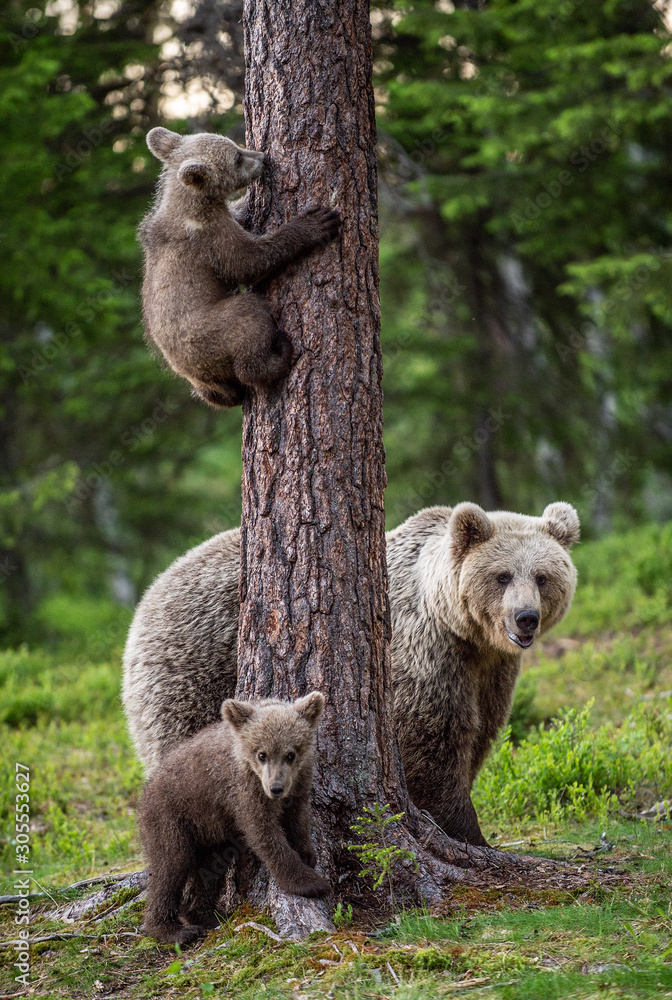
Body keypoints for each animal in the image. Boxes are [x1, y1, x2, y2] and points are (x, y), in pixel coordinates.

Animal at [123, 502, 579, 845]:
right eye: (502, 575)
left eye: (543, 576)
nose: (526, 618)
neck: (462, 630)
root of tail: (152, 592)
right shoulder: (423, 654)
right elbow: (433, 740)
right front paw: (465, 829)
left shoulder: (491, 671)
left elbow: (480, 731)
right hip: (191, 667)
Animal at [139, 127, 341, 408]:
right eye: (236, 157)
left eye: (235, 146)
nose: (263, 156)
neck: (193, 204)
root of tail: (197, 375)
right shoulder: (210, 238)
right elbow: (249, 262)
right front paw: (314, 223)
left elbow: (239, 218)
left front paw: (246, 202)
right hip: (211, 332)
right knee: (249, 319)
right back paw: (278, 353)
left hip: (206, 382)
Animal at [139, 692, 328, 944]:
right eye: (262, 754)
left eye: (291, 754)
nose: (276, 788)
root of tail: (145, 792)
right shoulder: (242, 791)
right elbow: (264, 835)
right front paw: (311, 883)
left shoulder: (299, 782)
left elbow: (297, 818)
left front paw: (307, 853)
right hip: (169, 816)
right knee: (170, 865)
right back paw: (172, 929)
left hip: (207, 829)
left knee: (210, 867)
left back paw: (207, 915)